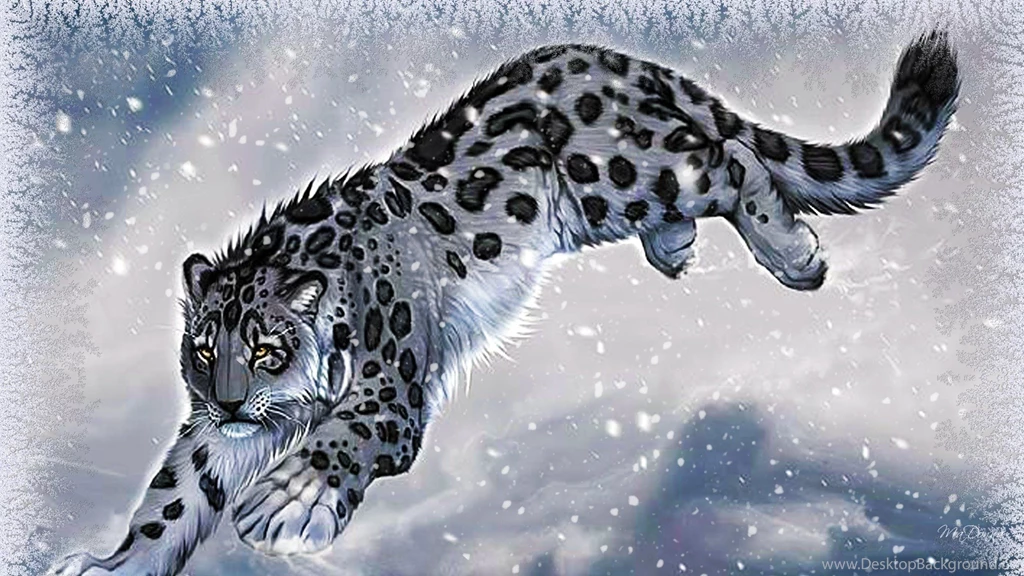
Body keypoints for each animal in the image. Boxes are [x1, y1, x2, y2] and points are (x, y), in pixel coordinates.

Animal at [52, 31, 958, 575]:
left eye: (267, 348)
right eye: (204, 349)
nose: (233, 402)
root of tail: (624, 60)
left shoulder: (387, 388)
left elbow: (343, 436)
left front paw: (285, 502)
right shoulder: (211, 438)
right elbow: (173, 494)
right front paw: (108, 565)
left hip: (620, 171)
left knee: (729, 155)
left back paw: (792, 254)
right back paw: (675, 247)